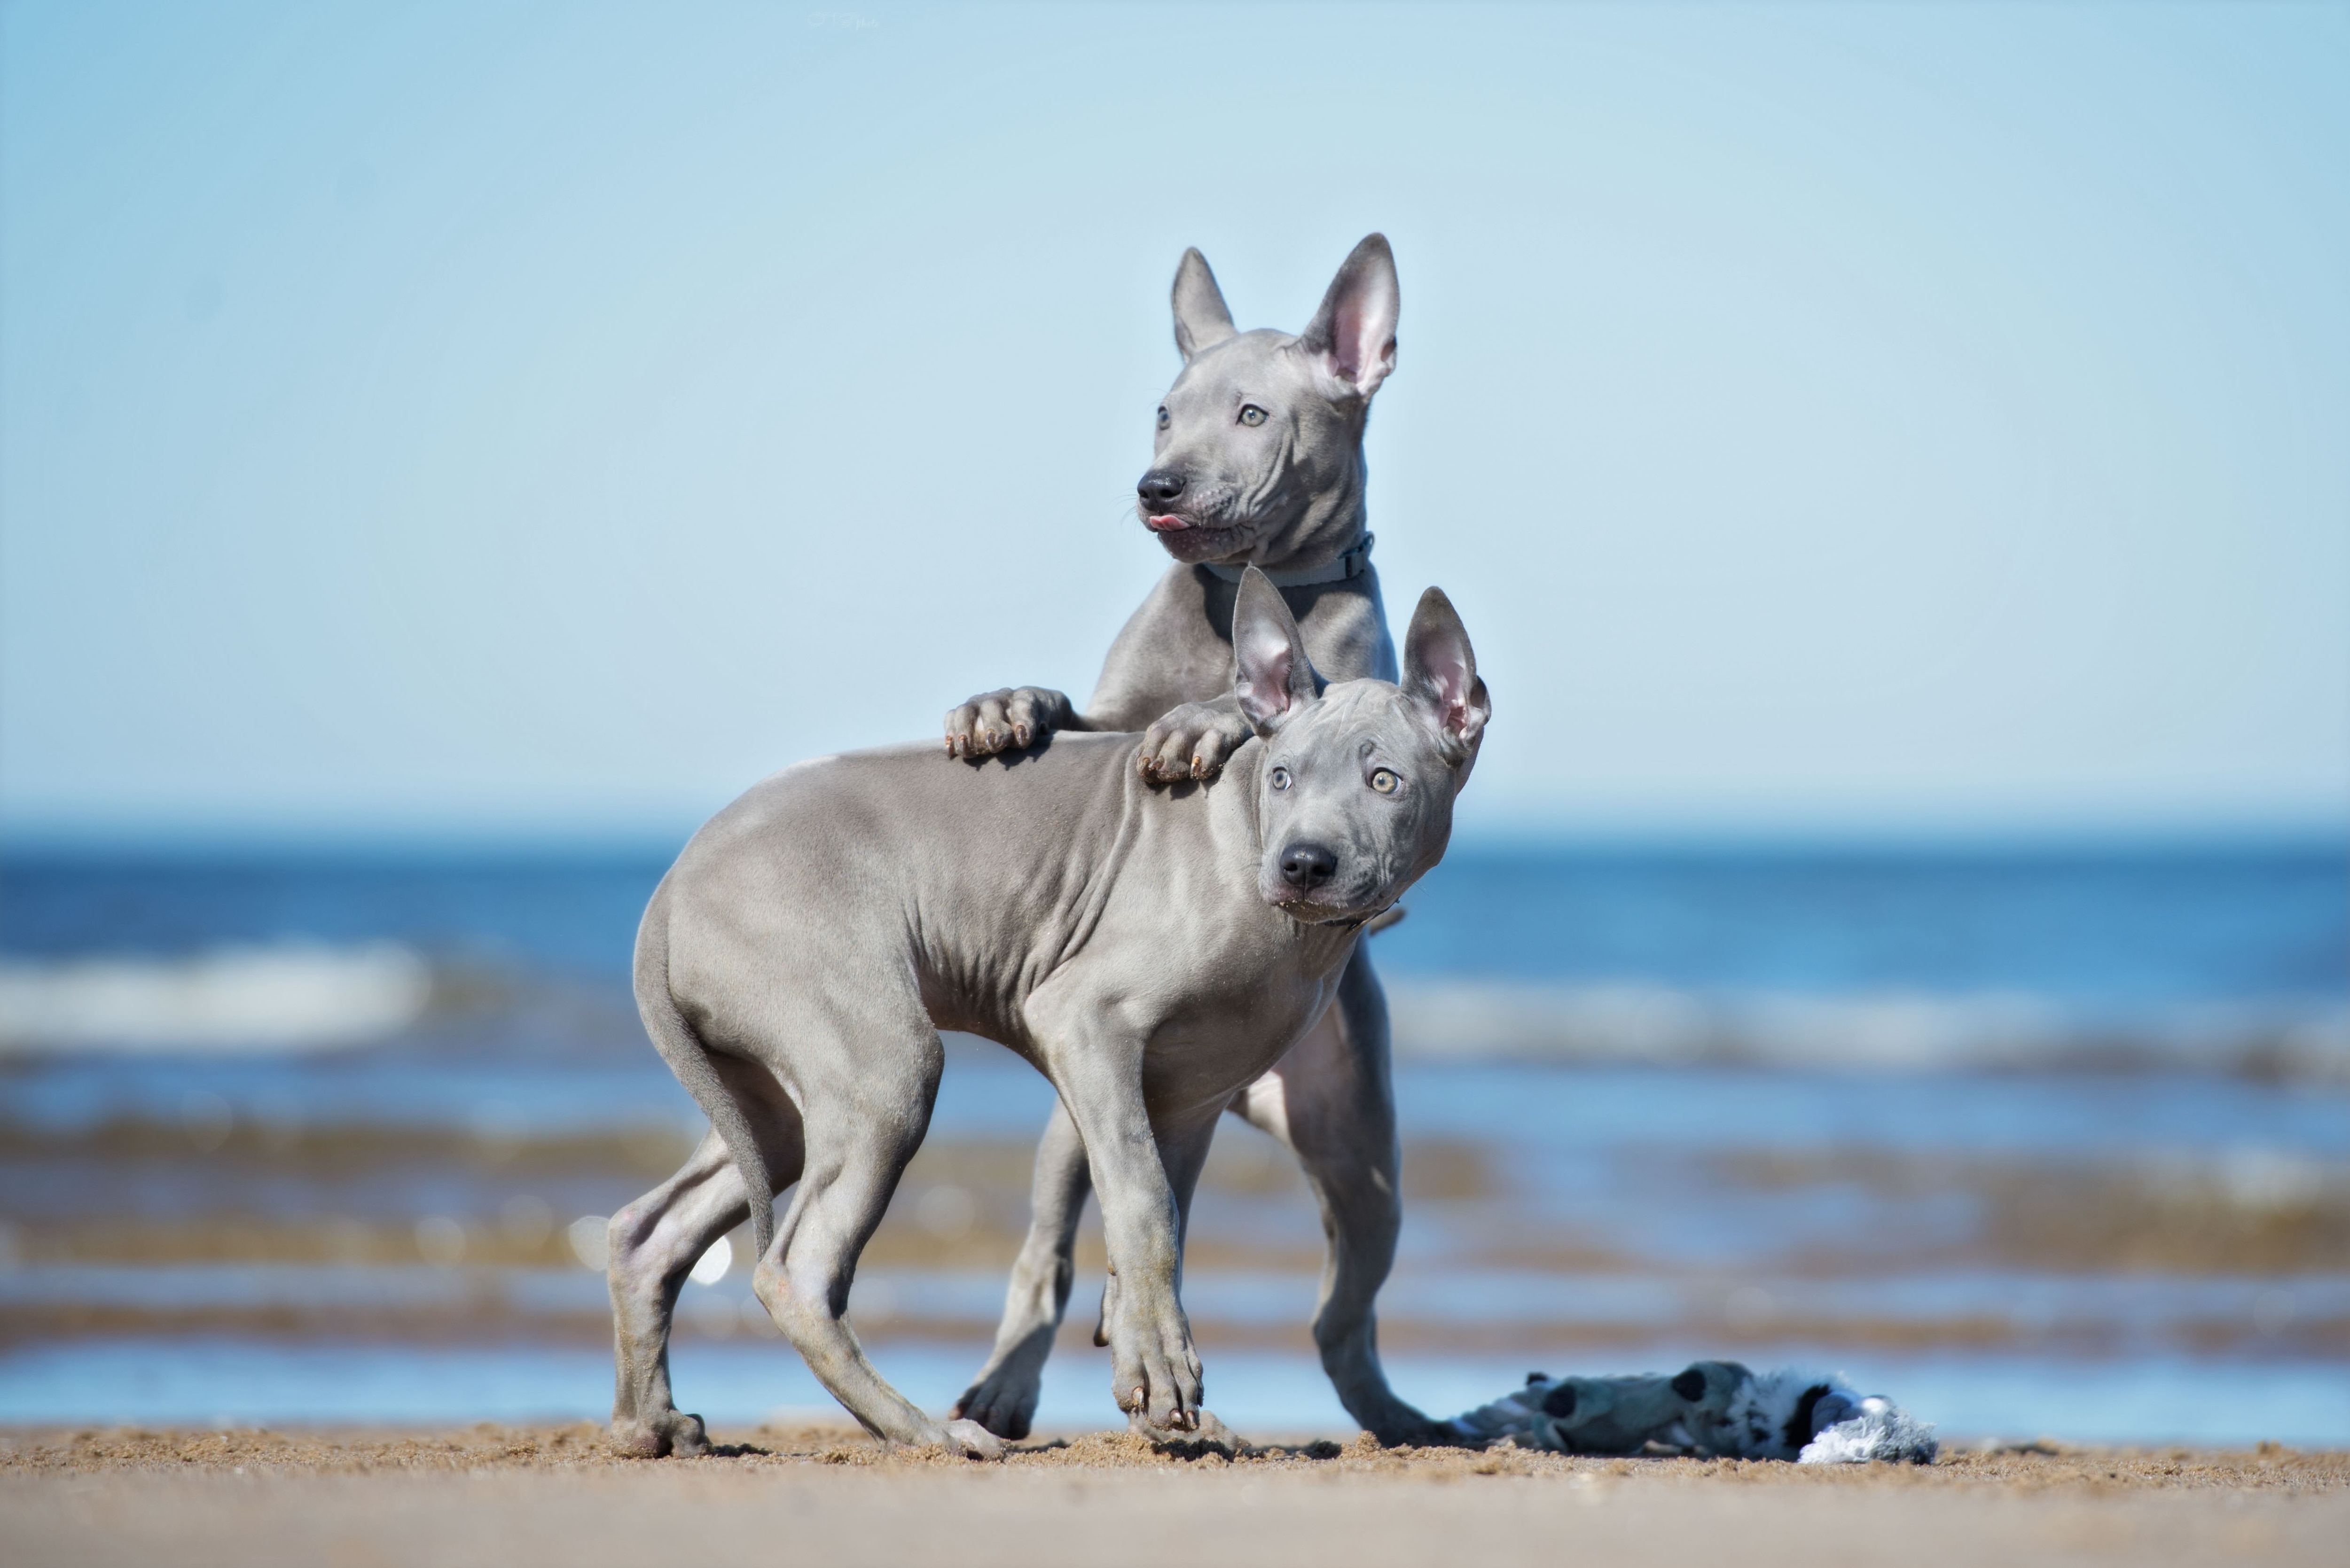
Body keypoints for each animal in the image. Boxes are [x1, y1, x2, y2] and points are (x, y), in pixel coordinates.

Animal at [606, 573, 1485, 1457]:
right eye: (1281, 776)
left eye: (1385, 781)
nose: (1303, 864)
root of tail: (670, 888)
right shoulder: (1085, 1020)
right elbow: (1146, 1208)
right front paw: (1165, 1376)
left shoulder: (1188, 1096)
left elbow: (1151, 1223)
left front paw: (1148, 1380)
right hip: (884, 1067)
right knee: (798, 1268)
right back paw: (927, 1430)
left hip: (781, 1102)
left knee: (650, 1230)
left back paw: (650, 1422)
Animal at [935, 233, 1448, 1448]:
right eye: (1164, 413)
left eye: (1254, 415)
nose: (1154, 485)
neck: (1233, 596)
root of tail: (1254, 1092)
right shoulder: (1106, 717)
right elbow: (1069, 707)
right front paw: (1003, 704)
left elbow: (1237, 712)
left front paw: (1205, 720)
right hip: (1074, 1128)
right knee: (1050, 1250)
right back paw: (1010, 1388)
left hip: (1360, 1156)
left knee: (1340, 1315)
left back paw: (1397, 1413)